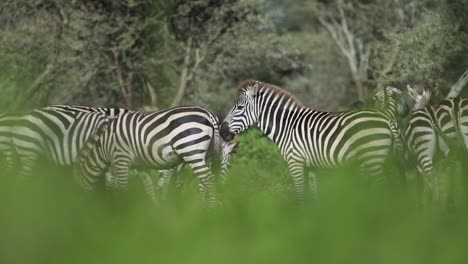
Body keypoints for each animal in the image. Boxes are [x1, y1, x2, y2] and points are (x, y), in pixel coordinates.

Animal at [77, 106, 227, 207]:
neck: (103, 145)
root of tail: (210, 115)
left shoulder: (121, 158)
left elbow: (122, 187)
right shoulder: (140, 166)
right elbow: (149, 188)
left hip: (191, 150)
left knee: (209, 179)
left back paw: (211, 211)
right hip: (207, 155)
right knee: (204, 183)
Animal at [221, 80, 400, 200]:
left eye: (240, 108)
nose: (222, 131)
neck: (287, 126)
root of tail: (386, 118)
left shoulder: (295, 162)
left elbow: (301, 196)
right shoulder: (311, 166)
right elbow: (314, 196)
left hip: (373, 157)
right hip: (382, 159)